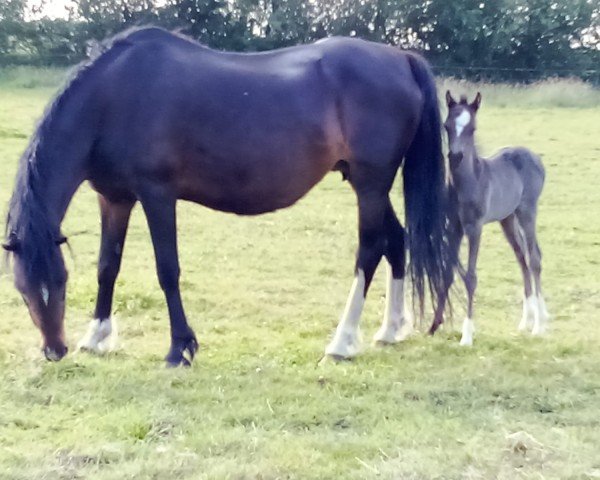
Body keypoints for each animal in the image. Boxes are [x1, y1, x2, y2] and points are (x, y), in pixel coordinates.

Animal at [3, 27, 454, 368]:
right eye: (23, 290)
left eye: (59, 284)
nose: (54, 350)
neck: (111, 99)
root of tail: (401, 58)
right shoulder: (114, 199)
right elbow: (107, 267)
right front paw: (96, 337)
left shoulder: (157, 195)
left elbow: (167, 270)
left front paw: (180, 348)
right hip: (369, 184)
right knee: (397, 240)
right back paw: (390, 330)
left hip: (370, 183)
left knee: (370, 249)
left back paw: (342, 342)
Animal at [428, 91, 552, 344]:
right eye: (446, 126)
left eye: (472, 128)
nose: (455, 156)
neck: (468, 183)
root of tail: (535, 156)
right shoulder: (454, 227)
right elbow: (447, 272)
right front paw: (434, 325)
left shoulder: (475, 227)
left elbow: (471, 277)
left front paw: (467, 335)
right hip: (508, 219)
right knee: (522, 257)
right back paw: (528, 320)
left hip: (527, 211)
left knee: (534, 258)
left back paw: (538, 326)